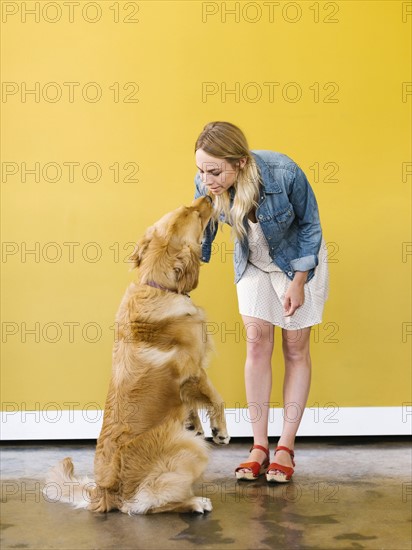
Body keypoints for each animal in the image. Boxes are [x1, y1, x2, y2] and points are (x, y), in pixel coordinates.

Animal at [46, 196, 230, 516]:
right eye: (194, 214)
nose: (207, 196)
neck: (158, 287)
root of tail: (105, 491)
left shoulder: (184, 385)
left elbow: (190, 406)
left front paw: (195, 424)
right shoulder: (194, 370)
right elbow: (215, 398)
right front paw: (220, 430)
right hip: (188, 451)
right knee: (146, 505)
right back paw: (195, 502)